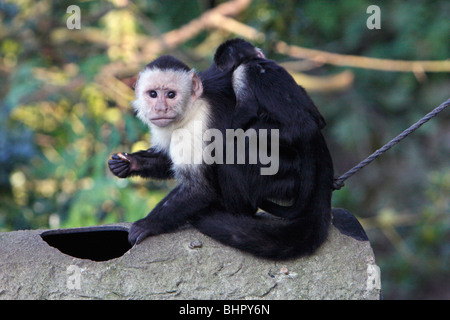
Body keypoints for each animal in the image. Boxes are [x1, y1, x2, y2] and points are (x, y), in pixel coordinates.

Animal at [109, 40, 334, 260]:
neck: (191, 108)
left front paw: (147, 225)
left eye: (171, 95)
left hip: (284, 173)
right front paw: (129, 163)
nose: (160, 109)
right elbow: (168, 160)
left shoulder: (196, 126)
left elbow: (201, 188)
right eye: (153, 94)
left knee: (232, 149)